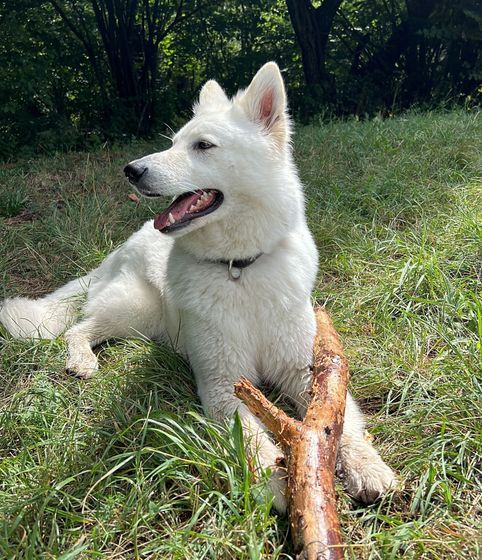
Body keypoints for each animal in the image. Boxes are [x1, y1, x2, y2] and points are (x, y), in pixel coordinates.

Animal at [0, 62, 394, 512]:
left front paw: (367, 467)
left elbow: (341, 423)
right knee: (77, 329)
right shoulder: (223, 384)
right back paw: (82, 361)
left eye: (203, 146)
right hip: (135, 308)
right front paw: (277, 483)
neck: (239, 268)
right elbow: (253, 437)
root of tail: (119, 248)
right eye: (173, 143)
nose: (131, 170)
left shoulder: (306, 370)